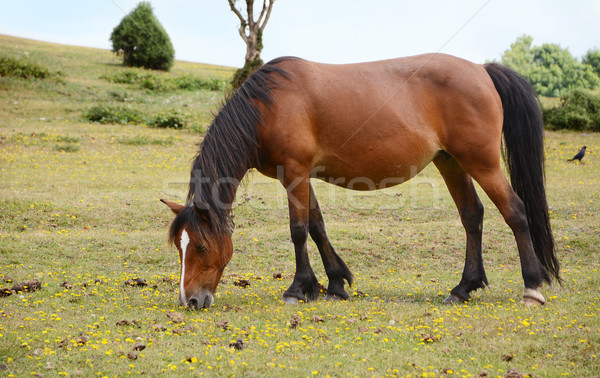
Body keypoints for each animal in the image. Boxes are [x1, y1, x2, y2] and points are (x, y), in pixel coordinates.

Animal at [162, 55, 560, 310]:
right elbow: (317, 226)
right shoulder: (300, 176)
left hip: (482, 162)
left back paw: (532, 287)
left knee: (515, 212)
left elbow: (299, 230)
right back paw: (463, 288)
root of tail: (482, 70)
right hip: (451, 162)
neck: (267, 107)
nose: (191, 301)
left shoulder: (294, 172)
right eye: (180, 248)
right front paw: (335, 284)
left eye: (200, 247)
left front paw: (298, 288)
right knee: (472, 215)